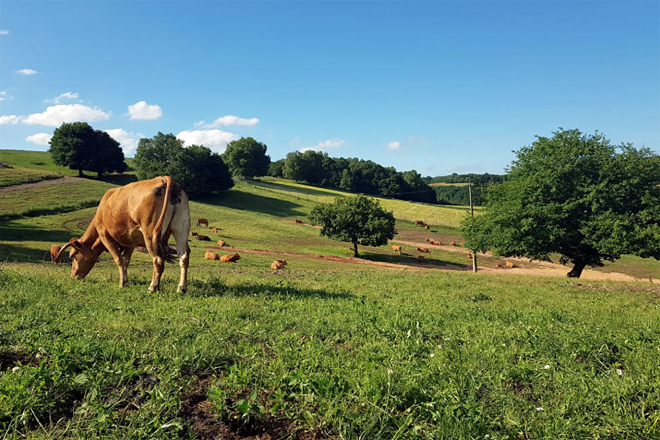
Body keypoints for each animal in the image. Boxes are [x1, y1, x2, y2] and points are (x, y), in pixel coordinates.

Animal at [55, 176, 191, 293]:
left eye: (72, 256)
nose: (73, 276)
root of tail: (163, 178)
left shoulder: (105, 236)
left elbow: (118, 259)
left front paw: (122, 284)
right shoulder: (131, 242)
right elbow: (126, 260)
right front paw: (126, 281)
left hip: (150, 235)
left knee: (158, 260)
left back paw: (152, 288)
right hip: (181, 229)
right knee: (184, 256)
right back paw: (181, 288)